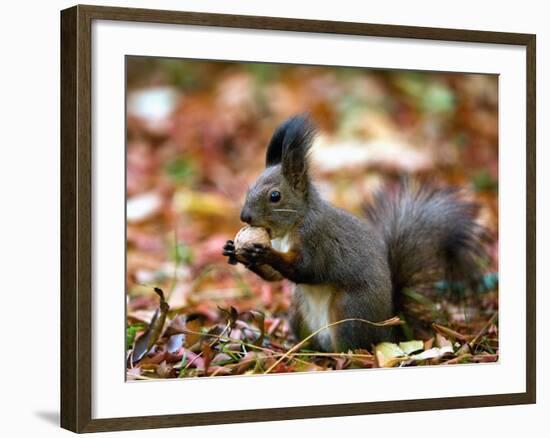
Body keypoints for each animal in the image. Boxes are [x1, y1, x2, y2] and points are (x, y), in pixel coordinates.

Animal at [222, 114, 490, 352]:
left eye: (275, 196)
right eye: (250, 188)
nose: (244, 217)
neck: (292, 226)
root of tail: (389, 330)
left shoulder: (317, 239)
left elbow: (306, 268)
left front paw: (263, 253)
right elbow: (275, 277)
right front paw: (233, 251)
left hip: (348, 312)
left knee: (351, 346)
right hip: (298, 312)